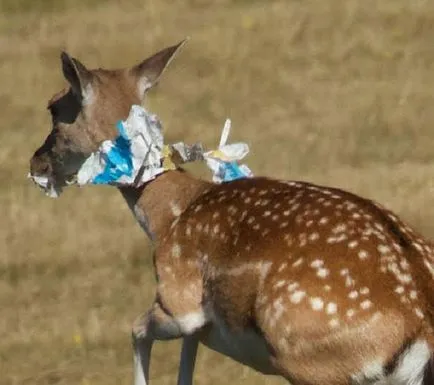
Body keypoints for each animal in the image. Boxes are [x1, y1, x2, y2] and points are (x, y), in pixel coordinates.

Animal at [29, 39, 434, 384]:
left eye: (54, 107)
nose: (36, 163)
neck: (166, 216)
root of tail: (422, 326)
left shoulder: (179, 299)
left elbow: (136, 330)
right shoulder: (198, 327)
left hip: (308, 361)